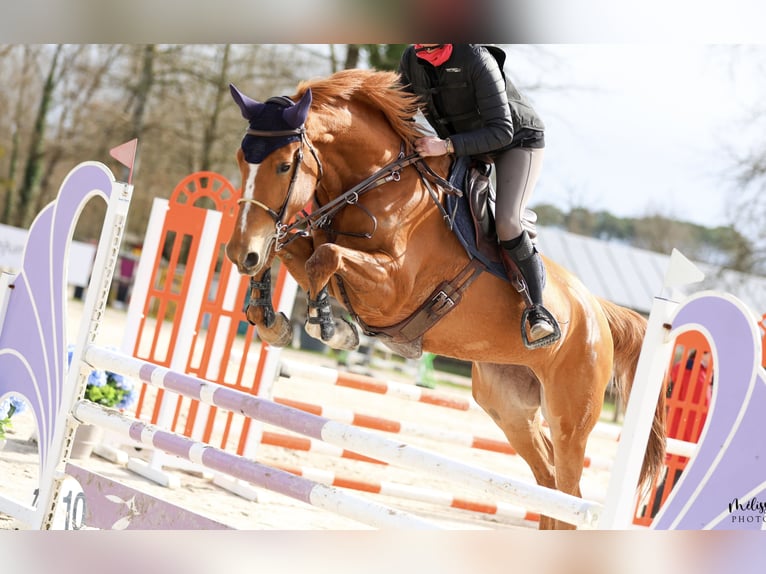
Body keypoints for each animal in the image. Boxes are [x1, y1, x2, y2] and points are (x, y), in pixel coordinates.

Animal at [224, 68, 664, 532]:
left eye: (283, 165)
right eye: (241, 160)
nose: (238, 253)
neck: (378, 187)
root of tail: (598, 312)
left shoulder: (393, 290)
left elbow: (324, 258)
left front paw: (330, 326)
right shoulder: (318, 245)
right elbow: (291, 250)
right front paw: (268, 316)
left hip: (570, 418)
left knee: (569, 495)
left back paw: (541, 323)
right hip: (507, 405)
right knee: (547, 483)